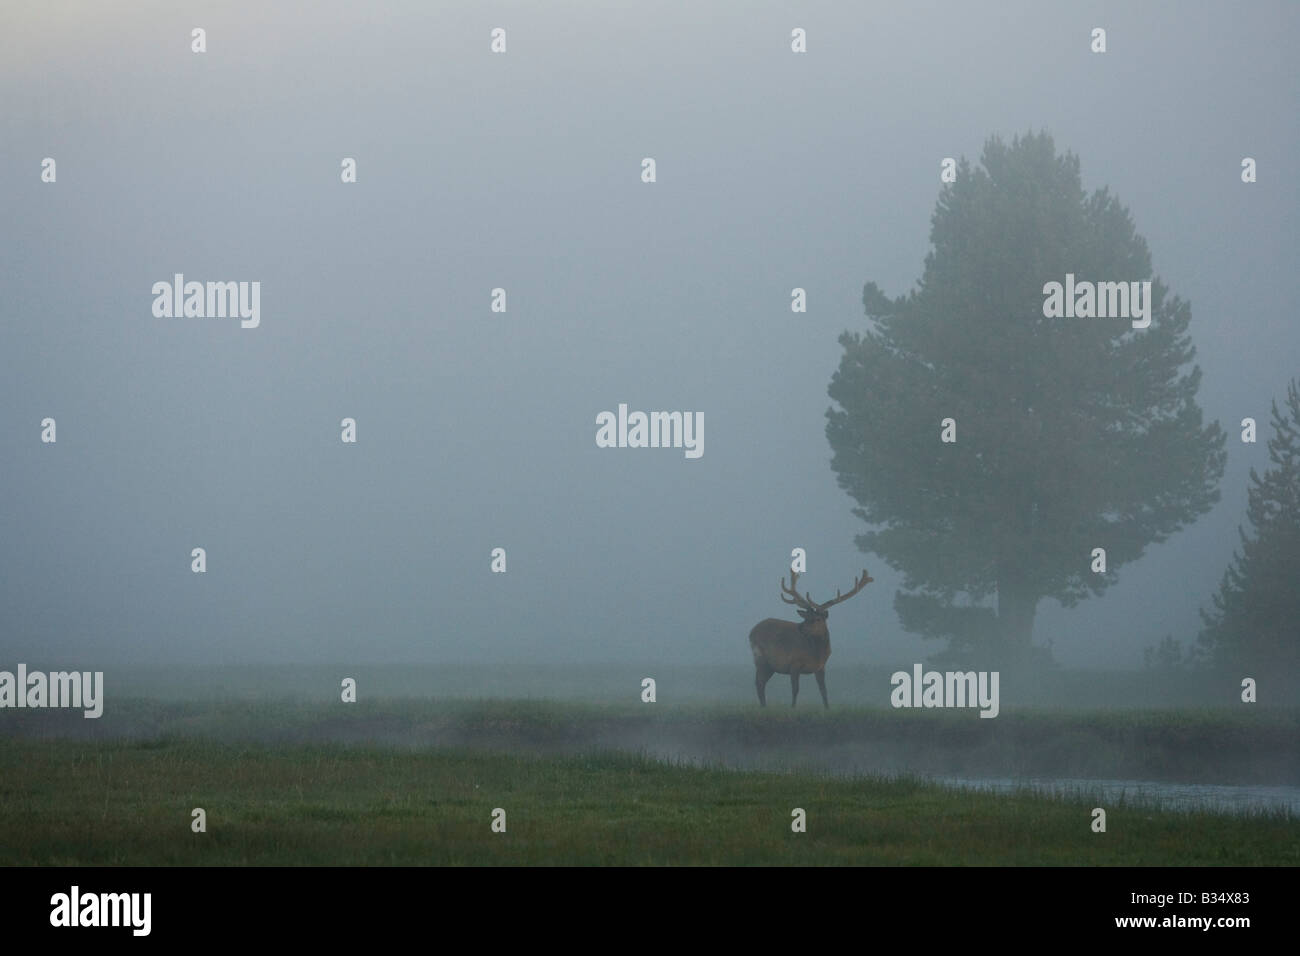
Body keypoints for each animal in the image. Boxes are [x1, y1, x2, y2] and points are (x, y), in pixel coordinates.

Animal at [748, 567, 868, 712]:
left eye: (817, 619)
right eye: (806, 617)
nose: (800, 628)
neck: (815, 653)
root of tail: (751, 632)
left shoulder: (821, 667)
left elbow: (823, 690)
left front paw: (827, 708)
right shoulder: (794, 663)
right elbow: (795, 689)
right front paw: (793, 708)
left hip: (771, 666)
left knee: (761, 682)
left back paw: (764, 706)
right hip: (761, 658)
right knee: (759, 682)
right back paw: (763, 706)